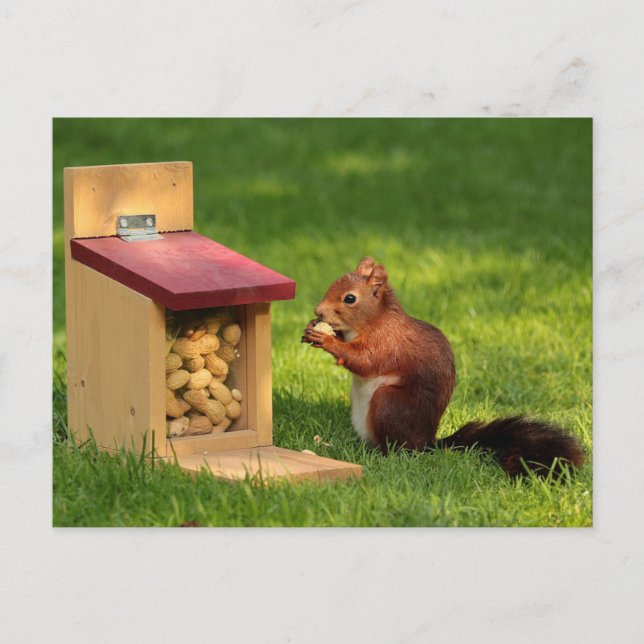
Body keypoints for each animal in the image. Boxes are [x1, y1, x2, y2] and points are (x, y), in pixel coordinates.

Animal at [301, 256, 585, 477]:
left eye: (350, 299)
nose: (318, 311)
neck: (375, 320)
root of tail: (427, 443)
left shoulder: (387, 343)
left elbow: (365, 361)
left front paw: (327, 340)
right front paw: (315, 330)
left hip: (388, 403)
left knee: (400, 449)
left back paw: (382, 457)